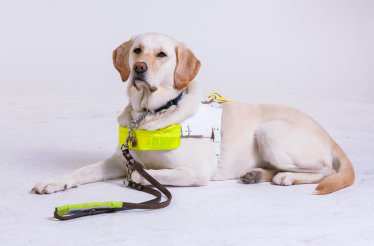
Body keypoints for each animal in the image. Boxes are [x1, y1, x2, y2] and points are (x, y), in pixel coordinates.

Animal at [31, 32, 354, 195]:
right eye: (137, 50)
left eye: (161, 55)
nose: (138, 68)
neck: (150, 114)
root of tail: (327, 133)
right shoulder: (119, 159)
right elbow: (85, 170)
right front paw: (55, 182)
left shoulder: (194, 172)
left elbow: (149, 173)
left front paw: (139, 179)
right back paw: (257, 174)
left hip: (269, 133)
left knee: (325, 171)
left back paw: (286, 177)